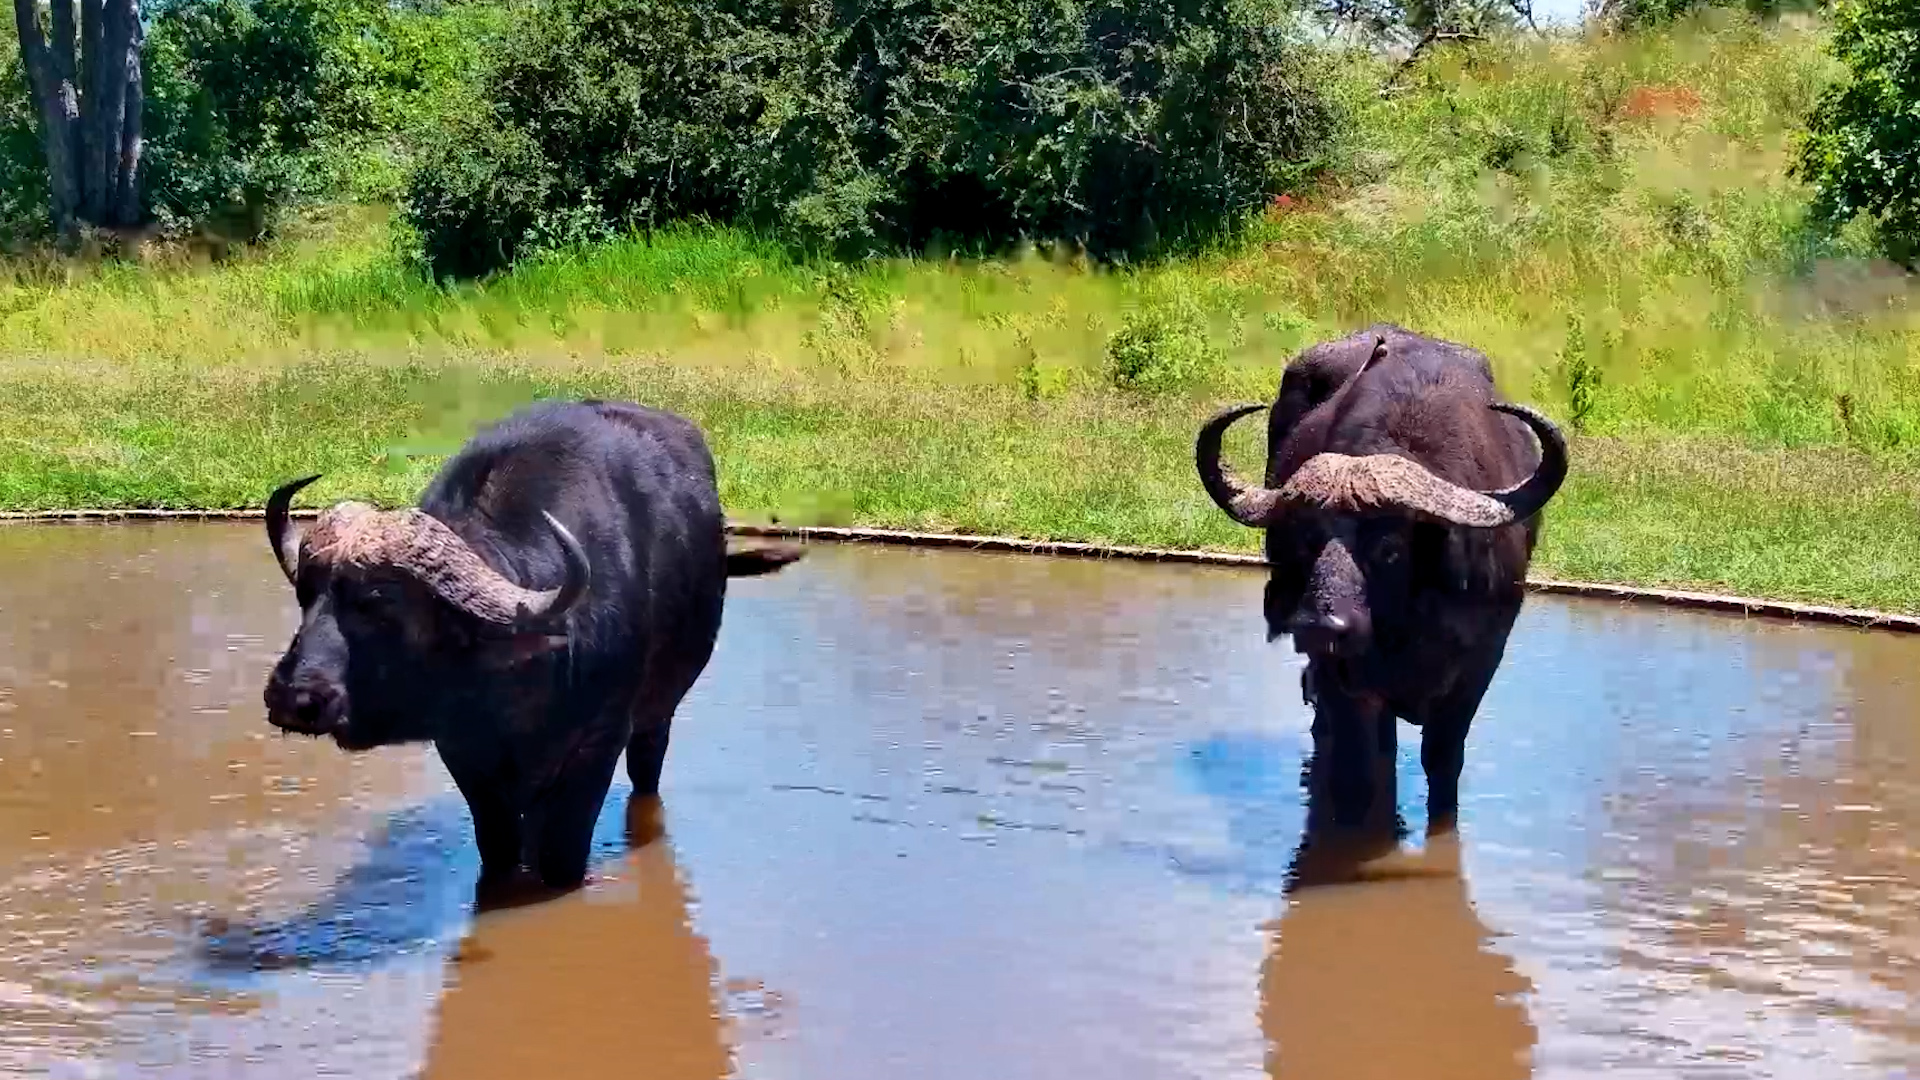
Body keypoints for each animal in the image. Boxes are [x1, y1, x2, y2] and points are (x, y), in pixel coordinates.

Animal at [260, 399, 803, 894]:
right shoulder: (466, 754)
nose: (292, 696)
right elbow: (500, 848)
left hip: (657, 717)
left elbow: (562, 857)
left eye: (379, 604)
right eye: (305, 593)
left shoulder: (597, 744)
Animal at [1194, 324, 1567, 835]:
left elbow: (1442, 760)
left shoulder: (1480, 662)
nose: (1319, 625)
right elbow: (1356, 771)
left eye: (1389, 549)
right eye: (1306, 541)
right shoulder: (1343, 674)